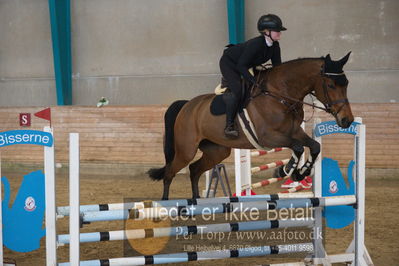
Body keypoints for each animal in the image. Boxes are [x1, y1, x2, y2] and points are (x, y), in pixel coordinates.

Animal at [149, 52, 354, 200]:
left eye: (346, 84)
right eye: (331, 85)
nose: (347, 120)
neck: (280, 95)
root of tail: (187, 105)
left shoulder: (295, 132)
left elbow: (314, 146)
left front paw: (300, 173)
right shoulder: (269, 137)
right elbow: (297, 147)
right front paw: (286, 170)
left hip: (217, 151)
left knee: (194, 170)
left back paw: (195, 201)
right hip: (186, 150)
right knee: (169, 173)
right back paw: (166, 207)